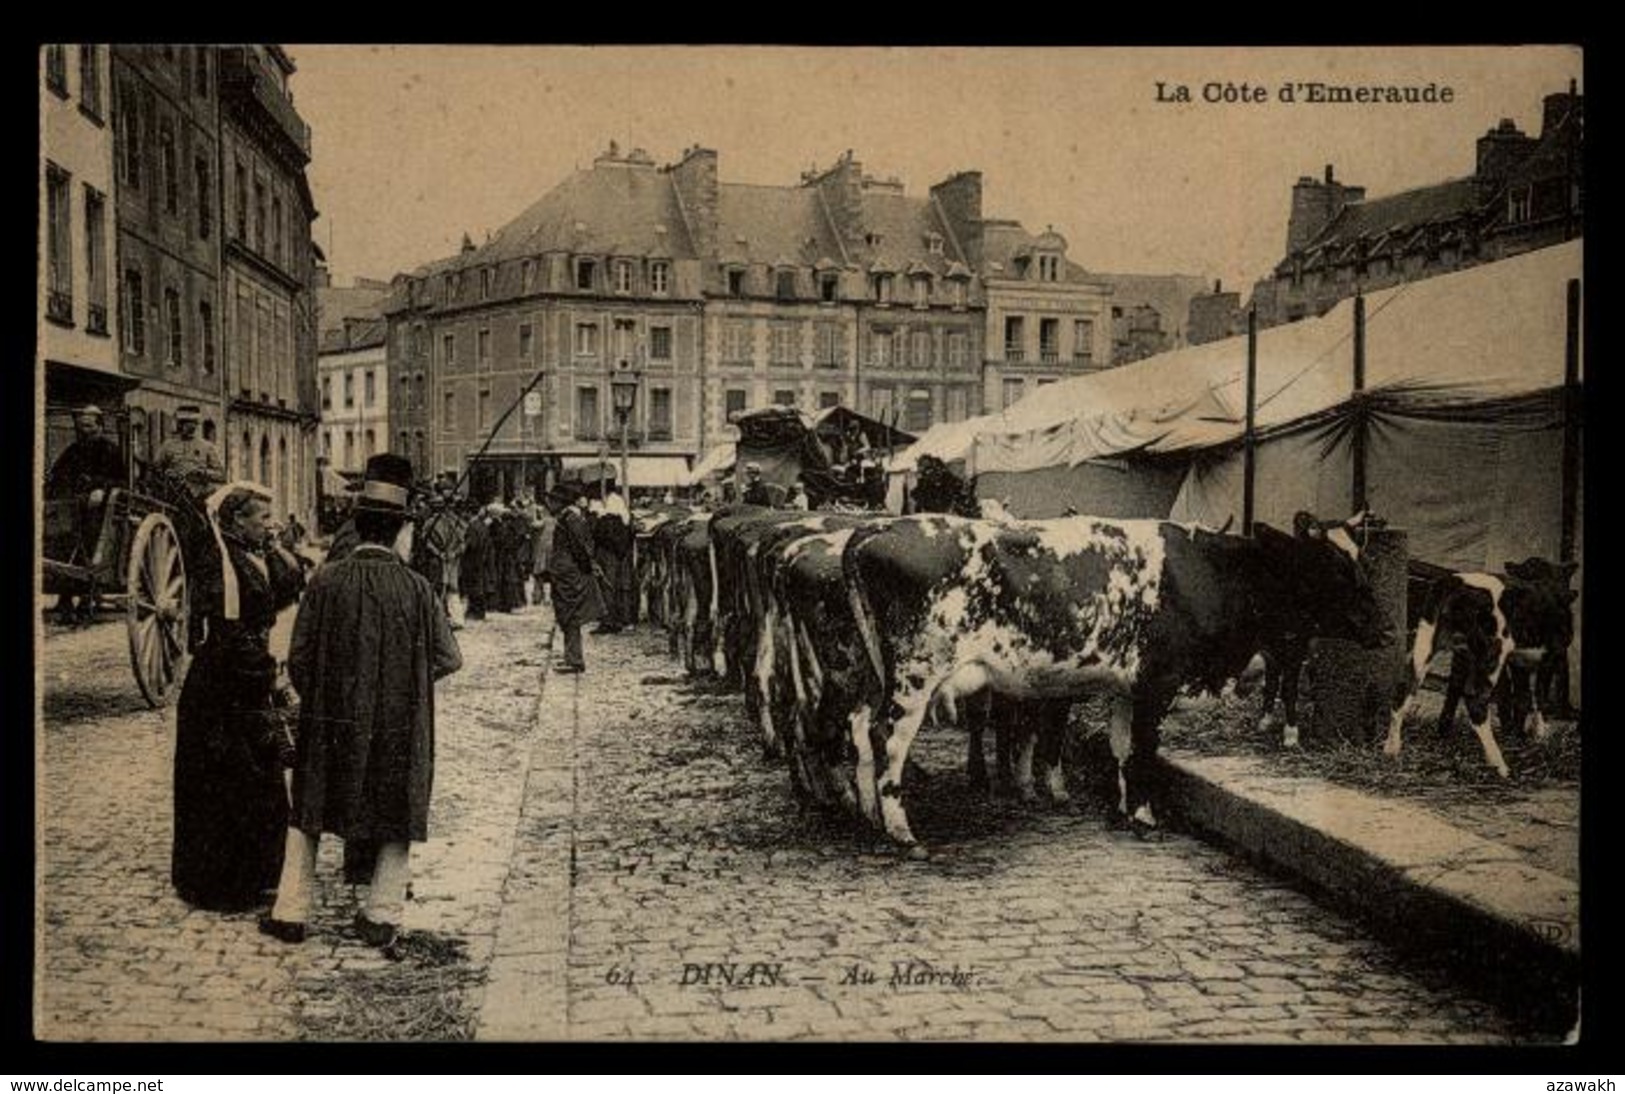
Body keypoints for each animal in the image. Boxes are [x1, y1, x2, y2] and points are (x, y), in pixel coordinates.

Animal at [838, 507, 1384, 851]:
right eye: (1333, 565)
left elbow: (1121, 749)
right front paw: (1144, 817)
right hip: (915, 674)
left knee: (859, 728)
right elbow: (1144, 750)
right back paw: (902, 833)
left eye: (1362, 560)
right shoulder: (1159, 681)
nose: (1383, 626)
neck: (1209, 570)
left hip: (875, 670)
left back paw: (868, 816)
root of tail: (876, 529)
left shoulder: (1128, 686)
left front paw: (1123, 810)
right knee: (888, 738)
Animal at [1384, 555, 1573, 777]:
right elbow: (1540, 696)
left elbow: (1523, 697)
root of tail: (1454, 580)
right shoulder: (1552, 656)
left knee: (1405, 688)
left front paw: (1520, 735)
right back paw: (1499, 765)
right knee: (1475, 699)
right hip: (1494, 648)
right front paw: (1539, 734)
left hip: (1427, 642)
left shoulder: (1519, 662)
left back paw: (1391, 749)